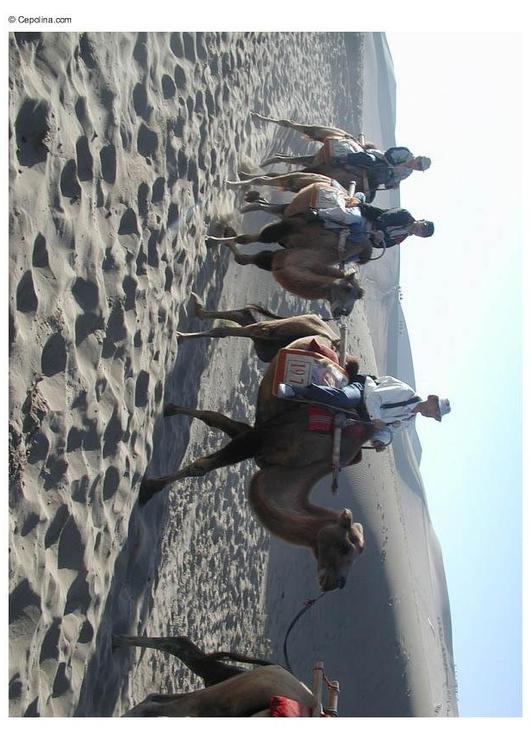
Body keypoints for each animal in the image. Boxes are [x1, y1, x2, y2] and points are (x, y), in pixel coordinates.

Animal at [141, 334, 374, 592]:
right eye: (345, 547)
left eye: (358, 552)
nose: (337, 583)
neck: (300, 468)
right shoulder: (263, 437)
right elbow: (201, 466)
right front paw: (148, 488)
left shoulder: (256, 437)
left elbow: (216, 420)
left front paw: (170, 408)